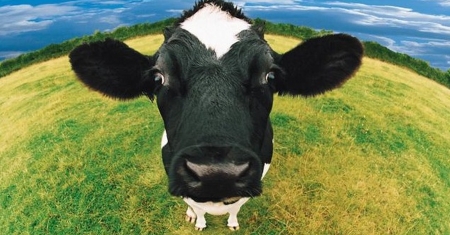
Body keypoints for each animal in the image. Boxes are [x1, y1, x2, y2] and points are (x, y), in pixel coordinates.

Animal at [68, 0, 364, 231]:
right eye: (158, 77)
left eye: (269, 76)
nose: (216, 173)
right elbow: (196, 206)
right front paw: (198, 221)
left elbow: (236, 207)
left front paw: (232, 222)